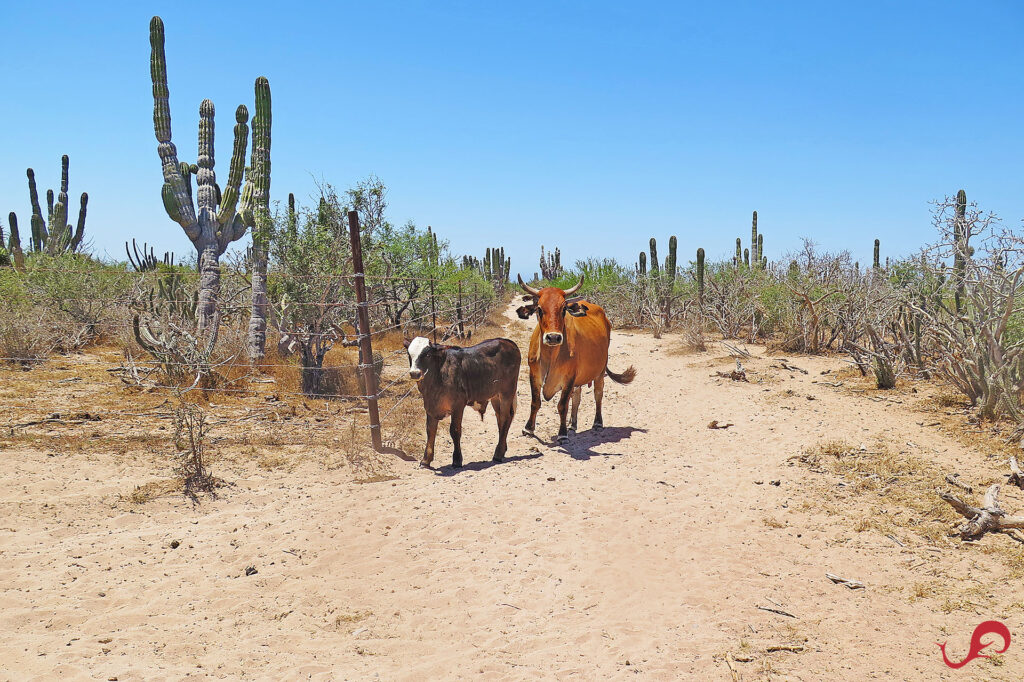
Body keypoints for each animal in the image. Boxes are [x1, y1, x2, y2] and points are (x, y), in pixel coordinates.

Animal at [403, 333, 520, 466]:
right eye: (409, 354)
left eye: (427, 354)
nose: (414, 373)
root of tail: (508, 342)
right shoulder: (430, 407)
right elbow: (430, 431)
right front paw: (426, 460)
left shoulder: (458, 406)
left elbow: (455, 431)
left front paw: (457, 459)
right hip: (495, 396)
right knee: (500, 417)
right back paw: (502, 449)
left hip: (507, 392)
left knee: (505, 418)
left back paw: (498, 454)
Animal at [516, 274, 634, 444]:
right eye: (539, 309)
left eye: (564, 309)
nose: (553, 337)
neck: (550, 355)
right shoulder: (534, 374)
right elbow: (535, 402)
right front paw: (529, 429)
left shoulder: (569, 377)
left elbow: (562, 405)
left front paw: (562, 433)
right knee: (577, 397)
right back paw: (573, 424)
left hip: (600, 371)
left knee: (598, 394)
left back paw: (597, 423)